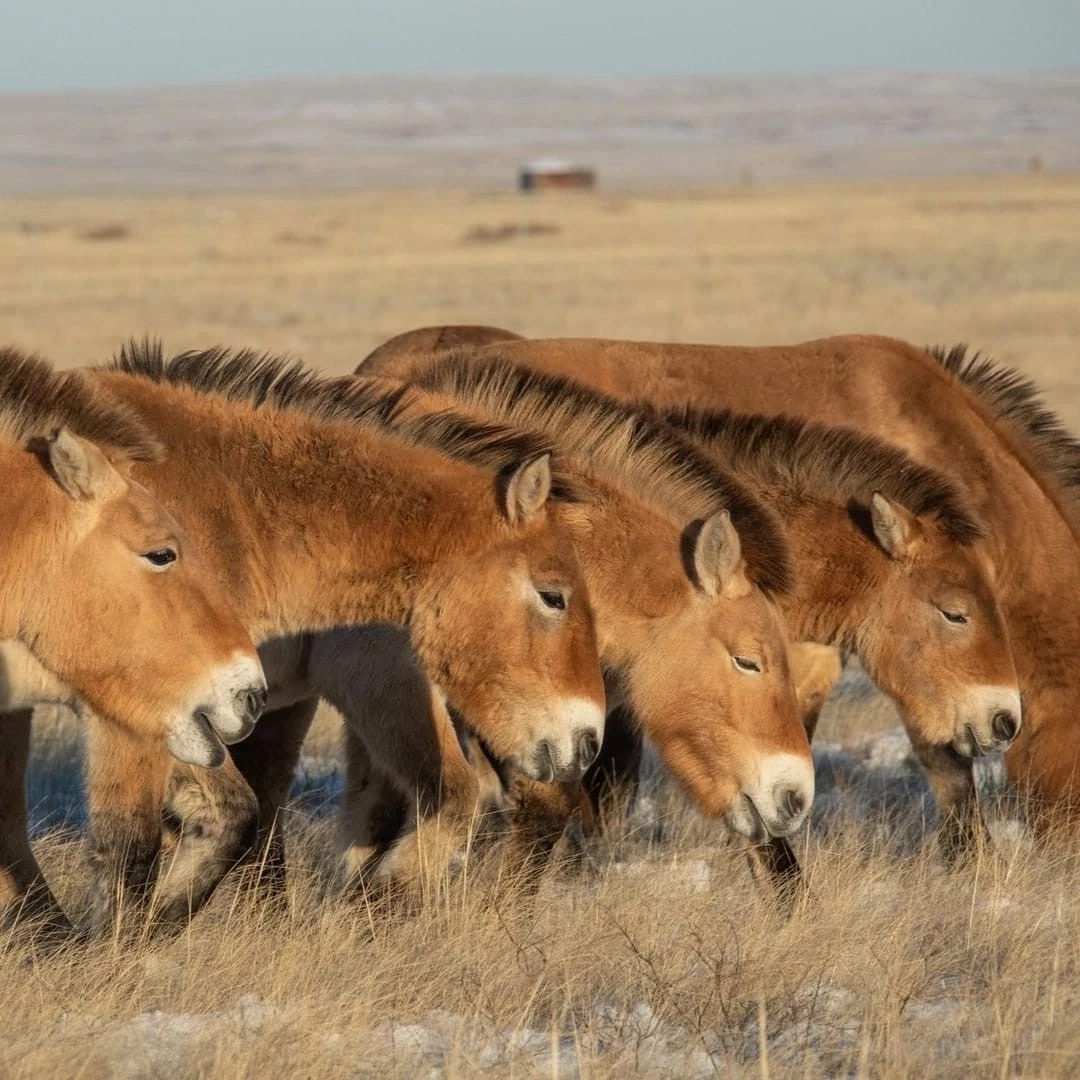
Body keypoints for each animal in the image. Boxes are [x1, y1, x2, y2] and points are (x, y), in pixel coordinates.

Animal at [0, 347, 604, 937]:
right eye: (554, 596)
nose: (587, 740)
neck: (228, 516)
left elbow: (245, 811)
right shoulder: (144, 714)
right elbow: (141, 840)